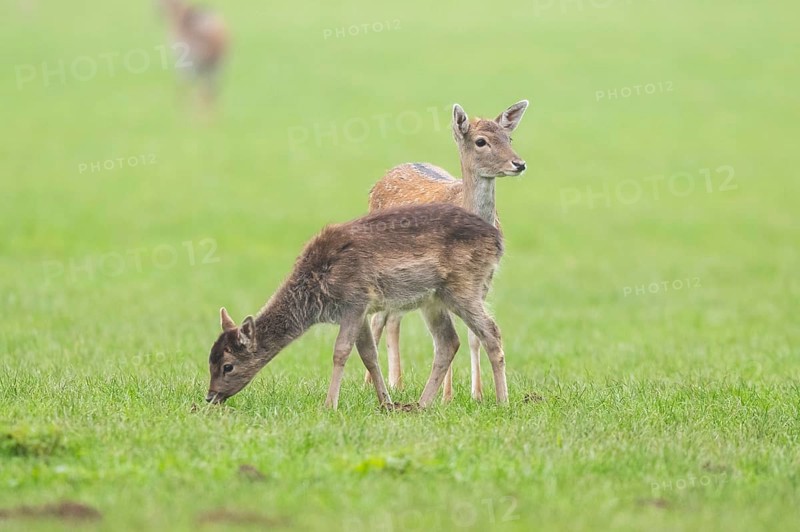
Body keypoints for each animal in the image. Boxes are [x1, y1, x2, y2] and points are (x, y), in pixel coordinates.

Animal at [205, 203, 507, 409]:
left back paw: (502, 401)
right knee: (448, 341)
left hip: (464, 285)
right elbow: (369, 355)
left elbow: (341, 352)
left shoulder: (355, 299)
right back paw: (421, 404)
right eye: (210, 360)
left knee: (491, 331)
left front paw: (329, 405)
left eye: (228, 366)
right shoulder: (361, 310)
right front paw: (386, 403)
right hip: (434, 299)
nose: (210, 396)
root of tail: (498, 241)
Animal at [364, 100, 528, 402]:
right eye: (481, 141)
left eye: (509, 138)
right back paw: (372, 384)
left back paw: (394, 383)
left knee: (393, 318)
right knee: (380, 319)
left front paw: (477, 394)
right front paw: (447, 396)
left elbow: (474, 334)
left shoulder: (484, 281)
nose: (519, 163)